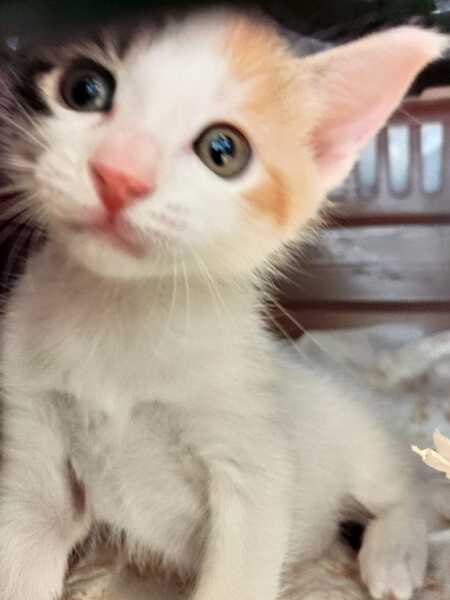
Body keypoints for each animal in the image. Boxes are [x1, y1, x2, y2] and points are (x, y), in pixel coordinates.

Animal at [0, 7, 447, 600]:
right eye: (83, 88)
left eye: (223, 151)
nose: (119, 175)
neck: (121, 317)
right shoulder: (33, 448)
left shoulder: (253, 467)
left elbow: (240, 571)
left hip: (361, 443)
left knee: (407, 491)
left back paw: (394, 557)